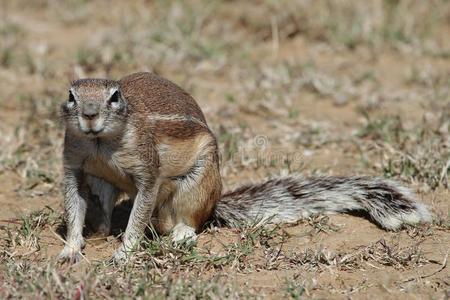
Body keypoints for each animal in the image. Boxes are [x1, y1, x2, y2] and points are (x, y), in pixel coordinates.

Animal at [59, 71, 432, 262]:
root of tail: (215, 203)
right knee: (107, 204)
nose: (89, 115)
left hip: (197, 185)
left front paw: (125, 252)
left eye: (114, 97)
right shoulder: (74, 166)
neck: (100, 143)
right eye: (71, 95)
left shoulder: (147, 172)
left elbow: (138, 215)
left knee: (185, 222)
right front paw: (71, 248)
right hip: (105, 186)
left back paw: (180, 234)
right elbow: (74, 207)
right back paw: (102, 231)